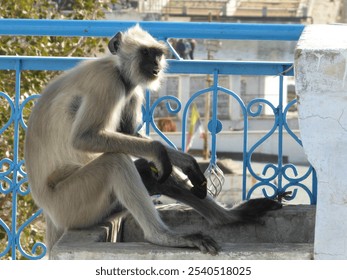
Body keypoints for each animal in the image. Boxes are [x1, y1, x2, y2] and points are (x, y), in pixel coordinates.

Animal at [24, 25, 282, 258]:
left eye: (157, 54)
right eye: (146, 53)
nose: (157, 65)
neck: (117, 69)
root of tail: (49, 211)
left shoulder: (130, 89)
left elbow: (127, 133)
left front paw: (185, 160)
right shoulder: (107, 82)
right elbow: (84, 137)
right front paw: (159, 151)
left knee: (152, 174)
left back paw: (228, 217)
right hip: (71, 204)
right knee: (117, 162)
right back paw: (163, 237)